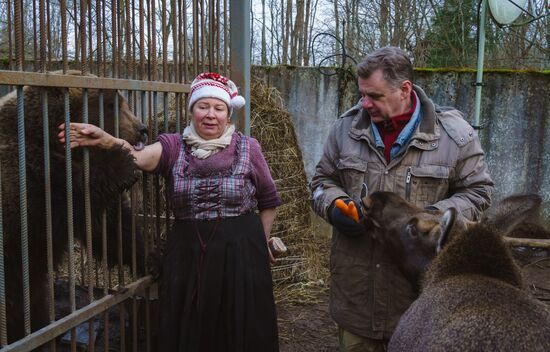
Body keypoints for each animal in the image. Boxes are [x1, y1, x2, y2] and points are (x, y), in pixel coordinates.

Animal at [0, 69, 149, 344]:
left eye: (122, 102)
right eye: (111, 105)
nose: (142, 129)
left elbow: (111, 227)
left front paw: (149, 256)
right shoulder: (30, 182)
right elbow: (73, 200)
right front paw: (123, 162)